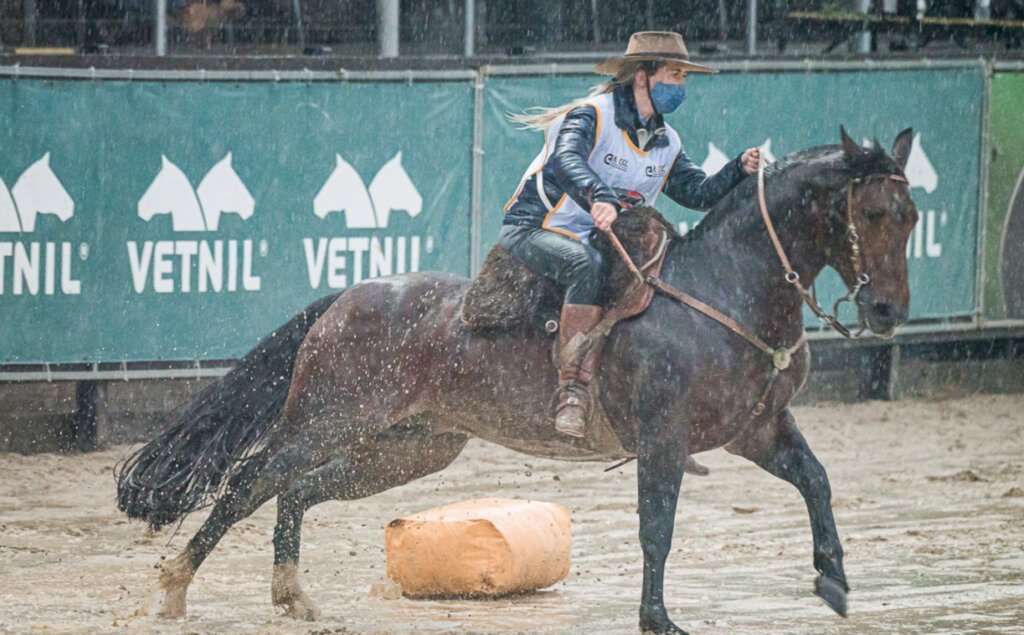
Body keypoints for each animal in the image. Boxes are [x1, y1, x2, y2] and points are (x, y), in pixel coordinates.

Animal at [116, 126, 917, 630]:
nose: (887, 309)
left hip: (408, 448)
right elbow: (656, 530)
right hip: (322, 420)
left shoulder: (756, 430)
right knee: (247, 484)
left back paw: (293, 598)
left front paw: (834, 581)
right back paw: (174, 588)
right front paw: (657, 619)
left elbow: (816, 481)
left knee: (296, 490)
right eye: (873, 211)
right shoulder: (663, 442)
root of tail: (346, 298)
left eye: (912, 215)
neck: (721, 290)